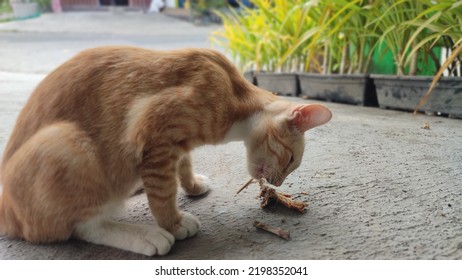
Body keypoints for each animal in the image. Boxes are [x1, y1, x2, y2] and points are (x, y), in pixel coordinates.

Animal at [0, 46, 332, 256]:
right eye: (291, 160)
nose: (277, 184)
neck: (234, 96)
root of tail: (7, 210)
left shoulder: (176, 145)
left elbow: (183, 166)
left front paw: (193, 185)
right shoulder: (155, 135)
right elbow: (162, 192)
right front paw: (173, 222)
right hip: (66, 142)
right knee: (84, 226)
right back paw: (145, 235)